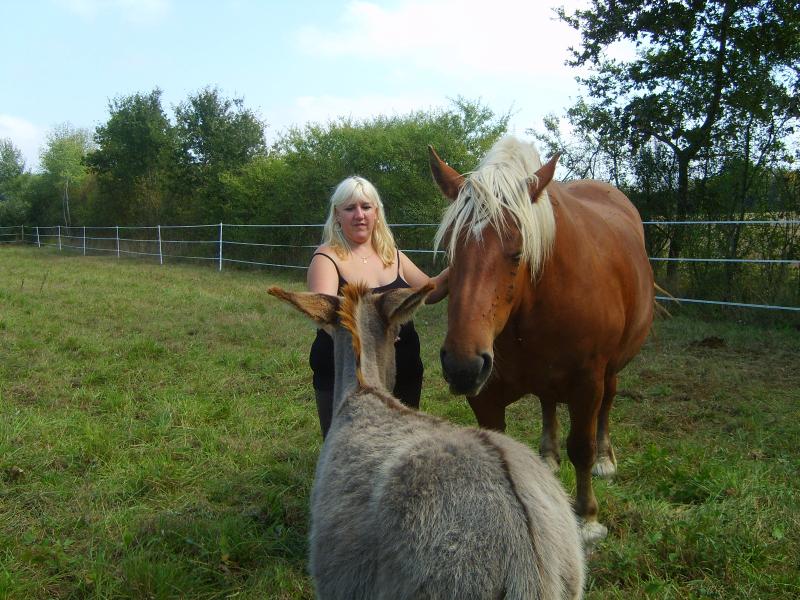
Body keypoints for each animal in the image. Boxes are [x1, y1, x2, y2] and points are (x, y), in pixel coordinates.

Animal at [429, 135, 654, 542]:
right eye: (452, 251)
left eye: (518, 252)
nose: (462, 367)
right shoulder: (486, 395)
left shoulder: (587, 383)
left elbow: (581, 447)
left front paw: (587, 517)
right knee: (548, 402)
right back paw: (548, 456)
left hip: (611, 371)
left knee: (608, 404)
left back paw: (605, 460)